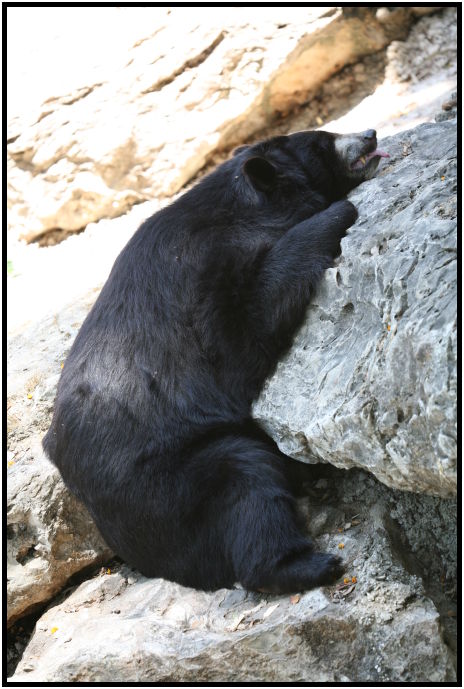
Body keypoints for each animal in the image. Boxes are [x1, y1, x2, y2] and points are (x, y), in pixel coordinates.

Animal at [43, 128, 388, 594]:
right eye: (322, 145)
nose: (369, 135)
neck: (242, 204)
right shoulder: (206, 270)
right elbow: (242, 332)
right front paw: (336, 212)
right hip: (168, 475)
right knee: (246, 484)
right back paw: (307, 565)